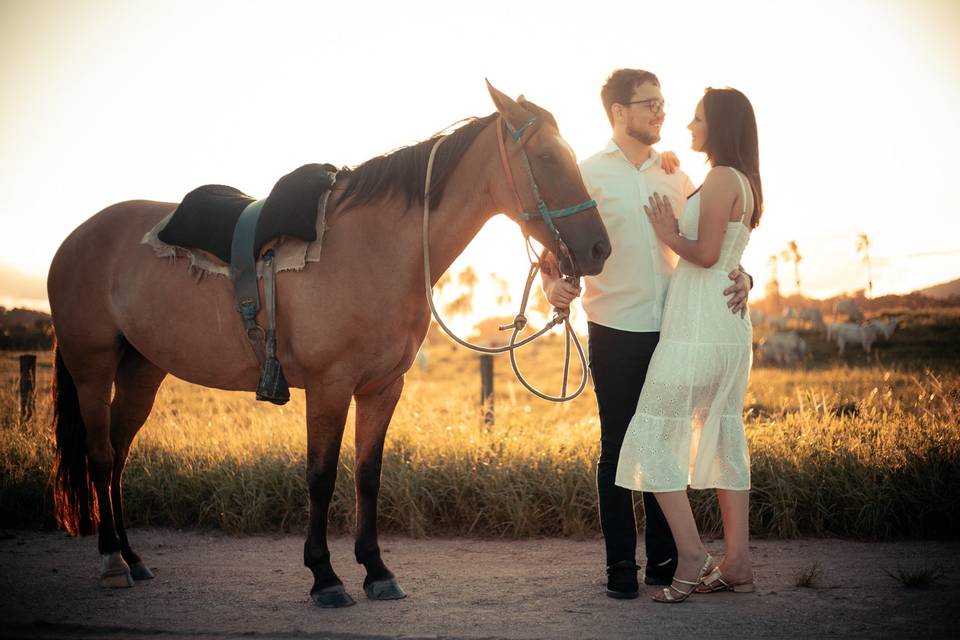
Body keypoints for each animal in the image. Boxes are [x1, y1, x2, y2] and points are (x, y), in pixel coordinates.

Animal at [48, 82, 612, 608]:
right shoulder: (329, 387)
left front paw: (377, 571)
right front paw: (325, 576)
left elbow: (367, 475)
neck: (376, 249)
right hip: (92, 365)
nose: (598, 249)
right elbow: (320, 477)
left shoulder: (382, 388)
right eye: (546, 158)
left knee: (119, 455)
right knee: (100, 456)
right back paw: (112, 562)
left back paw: (134, 557)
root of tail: (77, 238)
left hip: (142, 369)